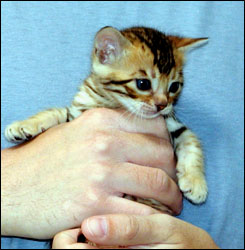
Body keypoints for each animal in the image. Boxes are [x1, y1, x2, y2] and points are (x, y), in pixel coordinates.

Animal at [4, 26, 208, 209]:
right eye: (143, 84)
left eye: (174, 87)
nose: (162, 105)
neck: (113, 103)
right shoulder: (77, 115)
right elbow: (56, 112)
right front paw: (24, 126)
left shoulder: (172, 123)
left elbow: (191, 142)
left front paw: (196, 182)